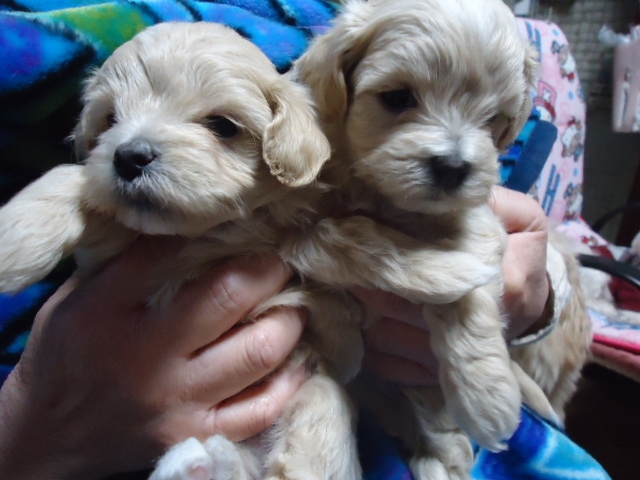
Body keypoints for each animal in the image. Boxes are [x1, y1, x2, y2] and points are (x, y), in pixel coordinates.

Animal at [288, 0, 560, 477]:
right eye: (397, 98)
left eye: (493, 119)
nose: (452, 167)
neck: (380, 194)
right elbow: (342, 239)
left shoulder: (479, 222)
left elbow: (467, 288)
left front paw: (485, 393)